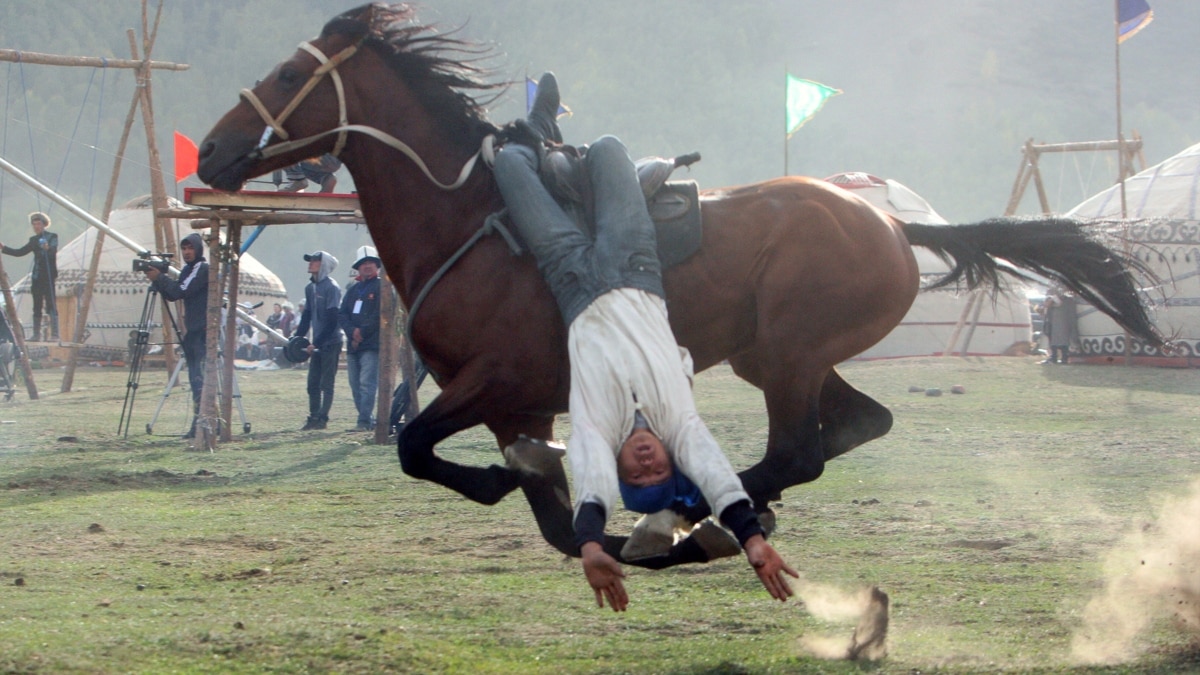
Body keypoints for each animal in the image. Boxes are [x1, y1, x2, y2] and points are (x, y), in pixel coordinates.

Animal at [196, 2, 1161, 564]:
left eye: (292, 75)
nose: (210, 151)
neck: (470, 215)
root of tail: (892, 223)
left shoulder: (498, 381)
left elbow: (413, 444)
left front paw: (556, 501)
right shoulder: (518, 405)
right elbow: (545, 516)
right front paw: (541, 498)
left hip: (787, 351)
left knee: (800, 451)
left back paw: (699, 518)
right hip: (779, 357)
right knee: (856, 425)